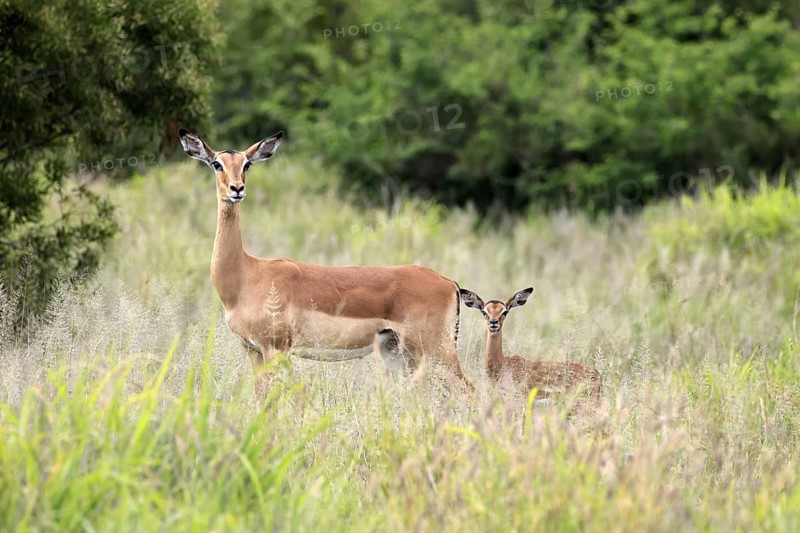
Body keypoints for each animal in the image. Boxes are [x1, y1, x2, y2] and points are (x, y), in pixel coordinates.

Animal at [178, 129, 470, 400]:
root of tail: (450, 283)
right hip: (400, 354)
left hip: (435, 351)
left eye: (247, 164)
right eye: (217, 163)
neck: (246, 276)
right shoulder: (253, 350)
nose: (237, 189)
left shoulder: (275, 349)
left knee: (469, 392)